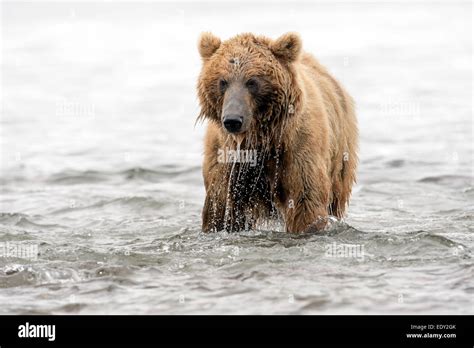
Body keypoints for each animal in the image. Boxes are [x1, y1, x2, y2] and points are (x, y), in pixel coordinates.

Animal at [197, 32, 360, 234]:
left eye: (252, 81)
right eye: (223, 82)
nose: (233, 120)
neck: (259, 138)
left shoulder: (298, 148)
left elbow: (305, 201)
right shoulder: (225, 157)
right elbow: (220, 207)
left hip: (340, 157)